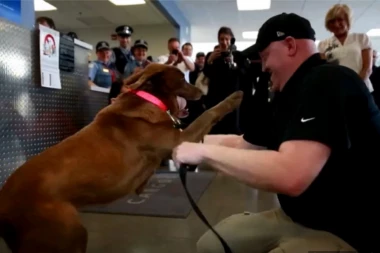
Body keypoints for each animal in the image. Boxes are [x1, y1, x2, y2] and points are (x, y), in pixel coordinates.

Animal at [0, 63, 243, 253]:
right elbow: (209, 113)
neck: (150, 100)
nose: (202, 92)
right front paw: (234, 98)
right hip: (67, 233)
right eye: (182, 78)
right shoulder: (182, 139)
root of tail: (4, 203)